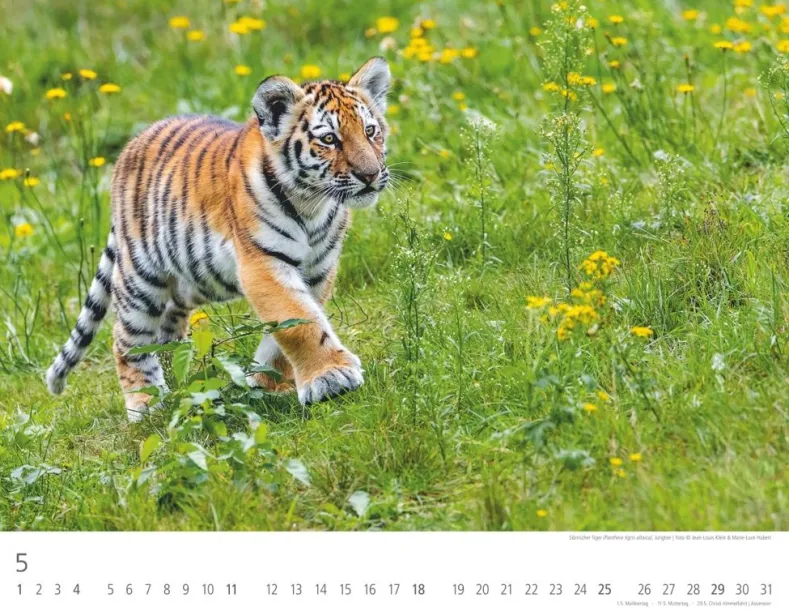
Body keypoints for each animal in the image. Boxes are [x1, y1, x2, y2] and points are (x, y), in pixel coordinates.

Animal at [46, 56, 392, 421]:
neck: (312, 204)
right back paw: (146, 404)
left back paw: (175, 376)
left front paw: (266, 383)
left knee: (169, 323)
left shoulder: (317, 271)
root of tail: (130, 146)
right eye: (329, 139)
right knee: (126, 339)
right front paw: (330, 378)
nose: (370, 175)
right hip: (141, 278)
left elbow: (293, 323)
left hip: (196, 278)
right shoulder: (262, 263)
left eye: (369, 131)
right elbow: (297, 322)